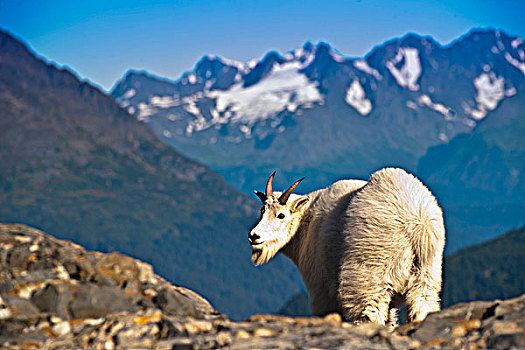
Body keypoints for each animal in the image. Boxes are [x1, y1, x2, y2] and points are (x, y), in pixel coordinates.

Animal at [249, 168, 442, 324]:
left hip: (369, 275)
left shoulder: (321, 288)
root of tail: (418, 225)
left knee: (369, 314)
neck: (305, 224)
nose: (254, 236)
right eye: (262, 211)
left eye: (281, 215)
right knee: (422, 308)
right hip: (426, 277)